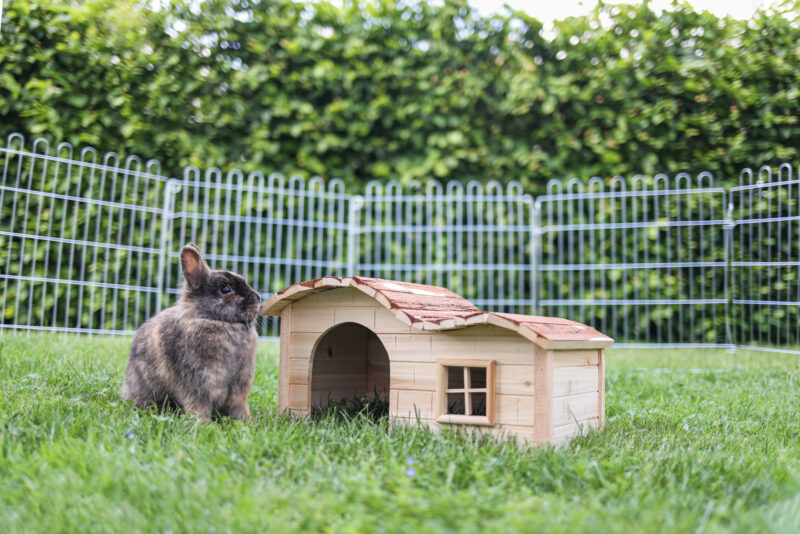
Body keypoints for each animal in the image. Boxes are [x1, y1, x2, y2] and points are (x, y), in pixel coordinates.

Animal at [120, 243, 260, 422]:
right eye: (225, 289)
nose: (258, 299)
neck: (214, 320)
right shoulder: (199, 384)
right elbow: (199, 405)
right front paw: (204, 423)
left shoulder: (239, 389)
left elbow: (238, 407)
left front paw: (246, 421)